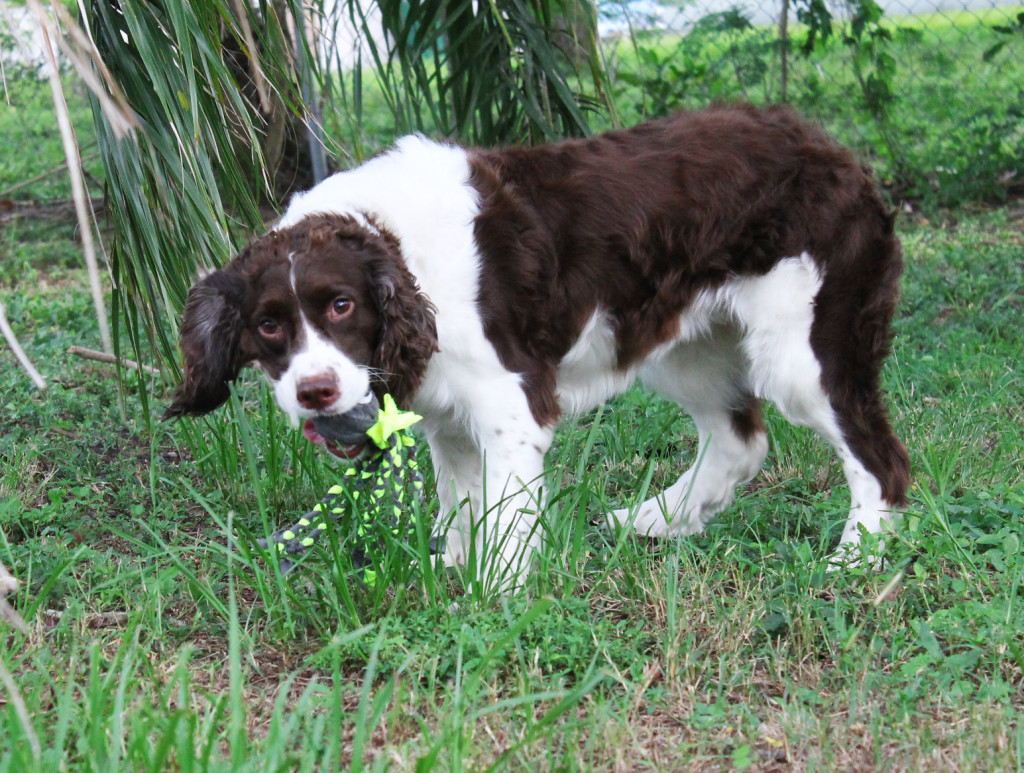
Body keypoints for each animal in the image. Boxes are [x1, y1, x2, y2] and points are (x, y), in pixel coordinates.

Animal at [167, 104, 913, 593]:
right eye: (268, 326)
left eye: (342, 306)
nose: (315, 392)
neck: (395, 246)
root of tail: (835, 153)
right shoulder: (449, 415)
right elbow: (461, 502)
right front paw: (452, 568)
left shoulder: (509, 403)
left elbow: (504, 512)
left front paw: (494, 594)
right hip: (686, 348)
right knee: (738, 439)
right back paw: (660, 518)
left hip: (806, 348)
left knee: (878, 457)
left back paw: (856, 559)